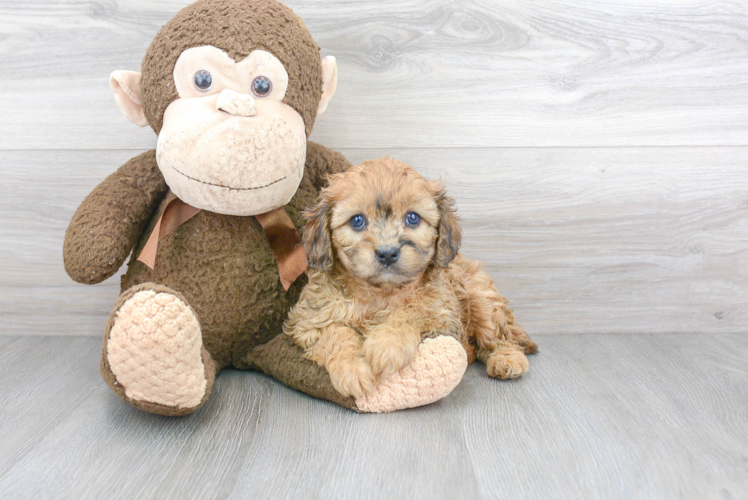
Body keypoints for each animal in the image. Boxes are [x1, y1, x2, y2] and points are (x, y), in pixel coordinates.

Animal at [284, 158, 536, 396]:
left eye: (413, 218)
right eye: (357, 220)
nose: (387, 253)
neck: (380, 292)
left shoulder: (442, 316)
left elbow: (412, 310)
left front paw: (387, 344)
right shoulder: (309, 322)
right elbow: (335, 333)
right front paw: (352, 369)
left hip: (481, 298)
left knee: (499, 337)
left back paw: (507, 359)